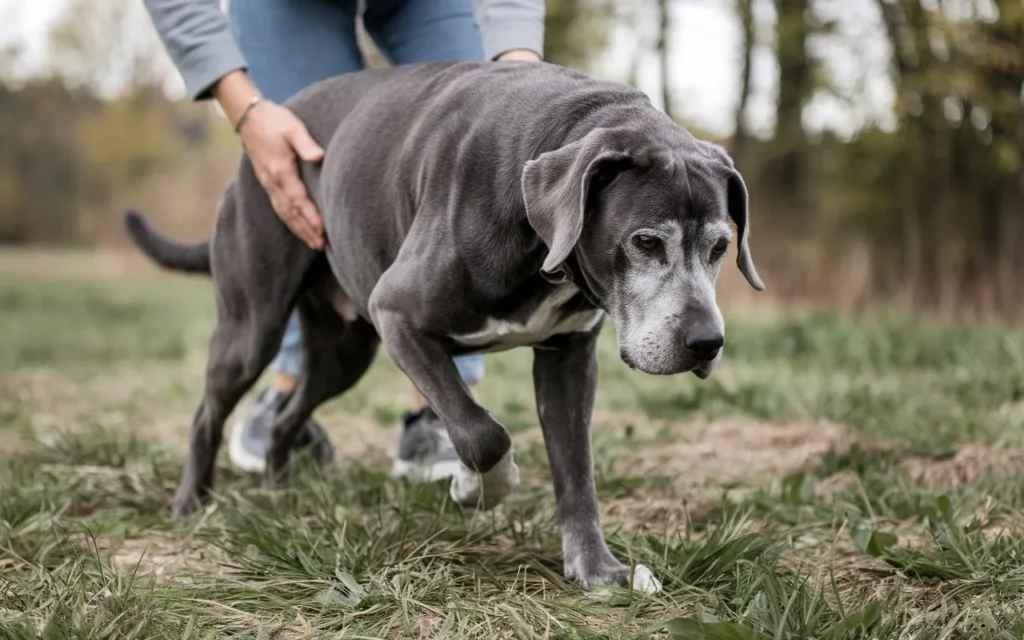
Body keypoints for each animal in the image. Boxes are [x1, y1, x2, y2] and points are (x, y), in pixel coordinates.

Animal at [125, 59, 761, 589]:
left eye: (720, 247)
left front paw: (596, 568)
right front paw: (479, 486)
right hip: (252, 326)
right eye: (646, 241)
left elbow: (576, 469)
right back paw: (190, 504)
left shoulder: (568, 358)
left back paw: (283, 491)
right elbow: (482, 432)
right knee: (209, 414)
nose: (707, 342)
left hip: (344, 351)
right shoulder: (399, 315)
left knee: (288, 413)